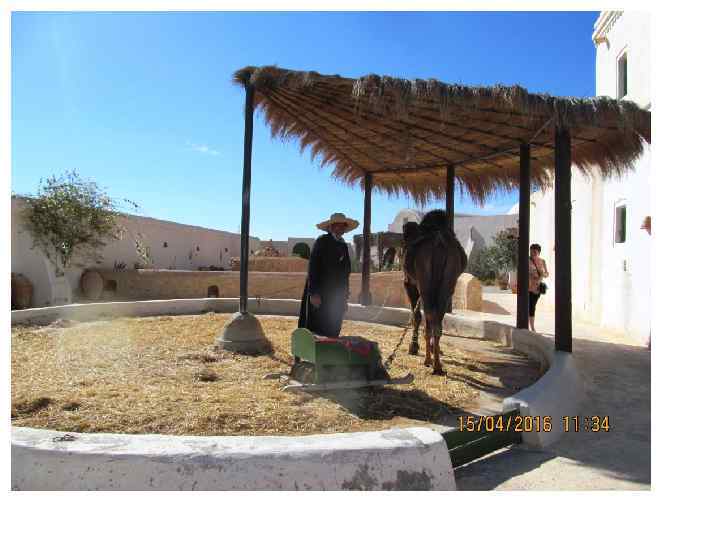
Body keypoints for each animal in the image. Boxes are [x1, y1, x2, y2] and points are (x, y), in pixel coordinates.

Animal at [402, 210, 468, 375]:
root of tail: (439, 242)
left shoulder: (409, 283)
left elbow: (416, 316)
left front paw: (413, 347)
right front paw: (431, 348)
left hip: (425, 282)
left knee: (429, 314)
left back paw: (428, 361)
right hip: (447, 281)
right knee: (437, 316)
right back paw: (437, 364)